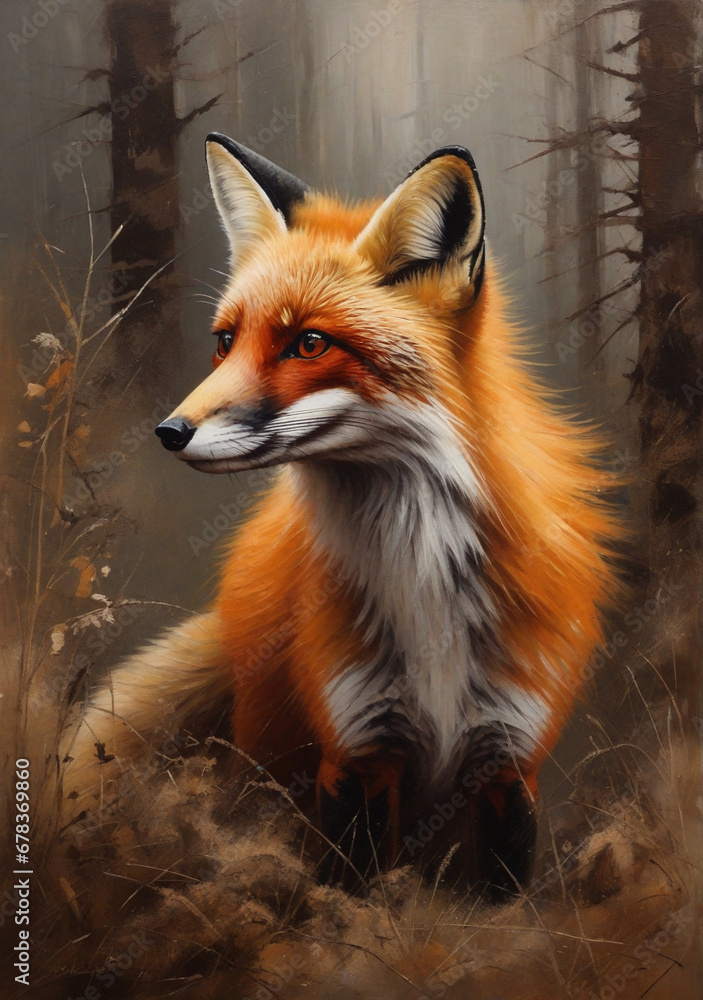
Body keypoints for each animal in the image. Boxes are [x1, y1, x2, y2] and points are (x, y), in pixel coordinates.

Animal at [62, 133, 617, 899]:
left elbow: (496, 903)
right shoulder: (355, 751)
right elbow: (349, 896)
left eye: (310, 343)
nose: (169, 432)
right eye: (225, 341)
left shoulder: (509, 761)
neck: (422, 578)